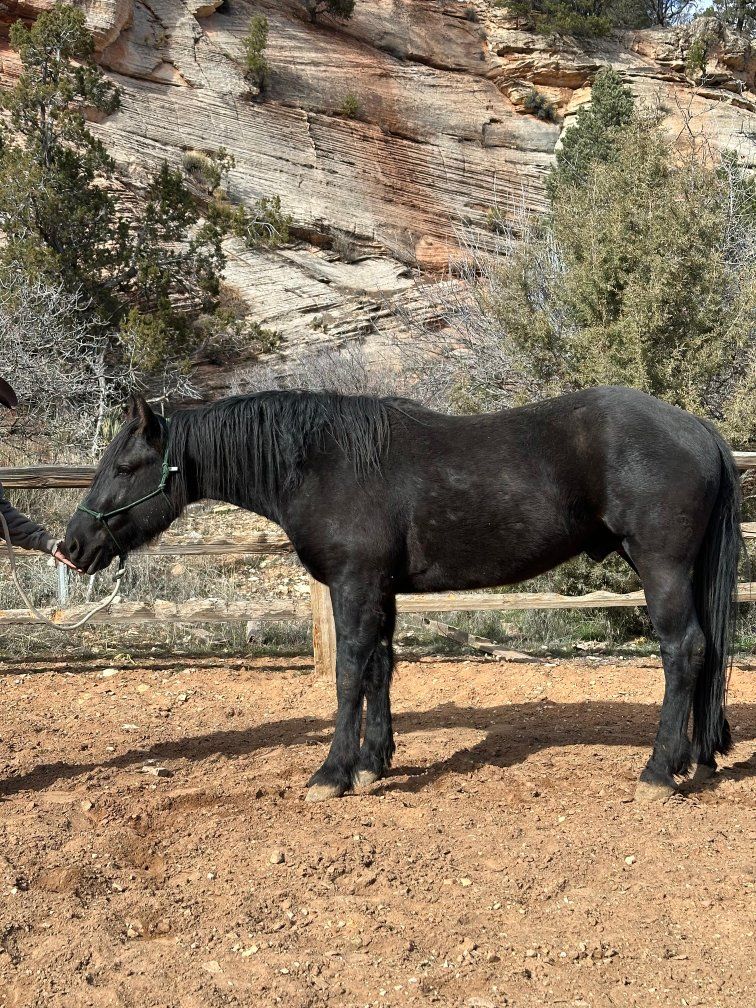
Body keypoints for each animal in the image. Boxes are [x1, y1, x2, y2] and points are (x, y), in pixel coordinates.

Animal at [64, 386, 742, 803]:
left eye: (124, 466)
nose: (72, 545)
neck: (323, 463)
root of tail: (698, 430)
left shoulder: (353, 586)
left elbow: (349, 673)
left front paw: (332, 773)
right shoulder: (379, 591)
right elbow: (380, 669)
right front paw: (372, 763)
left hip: (660, 567)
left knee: (684, 651)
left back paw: (658, 771)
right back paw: (697, 758)